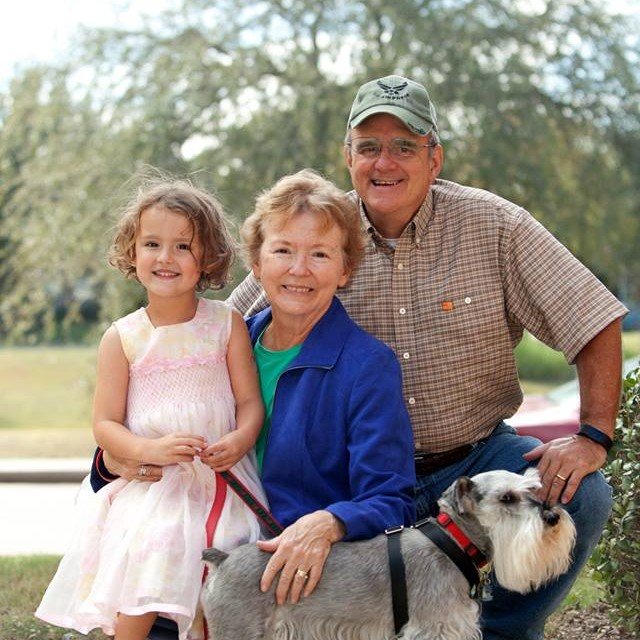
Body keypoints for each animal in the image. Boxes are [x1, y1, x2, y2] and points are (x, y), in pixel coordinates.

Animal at [202, 468, 576, 636]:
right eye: (507, 498)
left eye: (533, 488)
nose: (552, 516)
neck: (452, 542)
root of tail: (224, 559)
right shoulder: (435, 630)